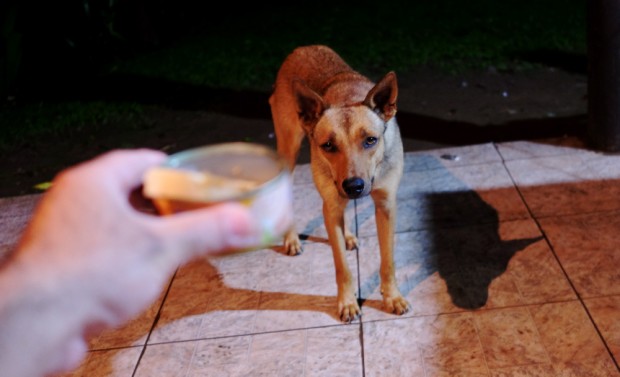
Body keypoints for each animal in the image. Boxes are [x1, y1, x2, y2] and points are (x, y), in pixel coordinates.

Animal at [268, 44, 410, 320]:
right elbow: (341, 266)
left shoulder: (386, 205)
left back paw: (348, 236)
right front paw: (347, 303)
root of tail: (303, 48)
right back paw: (292, 238)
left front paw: (392, 297)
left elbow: (388, 261)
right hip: (289, 151)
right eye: (328, 145)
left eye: (370, 140)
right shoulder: (332, 204)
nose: (353, 186)